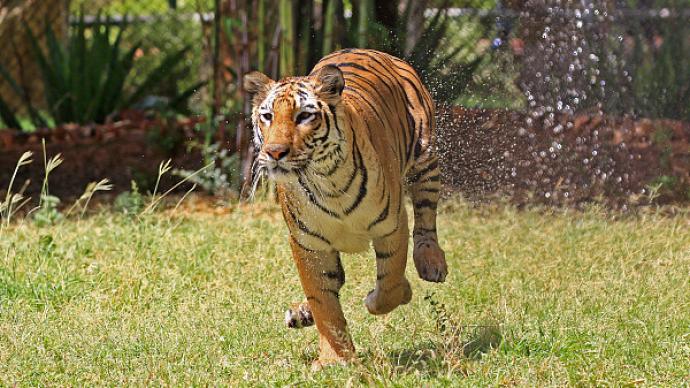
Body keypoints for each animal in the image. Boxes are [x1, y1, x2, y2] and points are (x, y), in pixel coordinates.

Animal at [242, 48, 446, 366]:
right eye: (267, 116)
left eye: (304, 116)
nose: (274, 152)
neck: (327, 181)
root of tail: (371, 50)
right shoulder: (308, 244)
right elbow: (324, 302)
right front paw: (333, 359)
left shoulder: (392, 226)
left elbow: (389, 283)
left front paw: (394, 294)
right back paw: (301, 313)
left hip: (425, 155)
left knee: (426, 214)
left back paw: (432, 262)